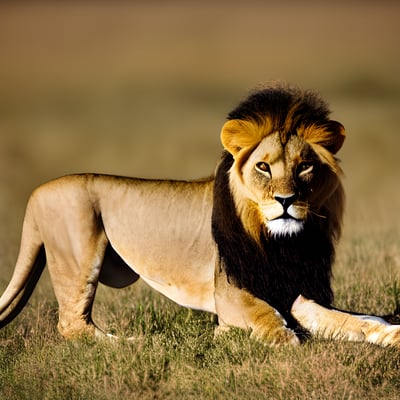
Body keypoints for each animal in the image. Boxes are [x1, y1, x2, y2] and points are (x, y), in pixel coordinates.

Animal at [0, 82, 398, 346]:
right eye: (264, 166)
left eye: (305, 167)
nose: (285, 200)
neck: (281, 242)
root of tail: (36, 192)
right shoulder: (233, 295)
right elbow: (268, 318)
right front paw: (268, 336)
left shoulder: (299, 292)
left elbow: (353, 321)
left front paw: (390, 333)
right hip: (79, 252)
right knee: (73, 327)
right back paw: (134, 343)